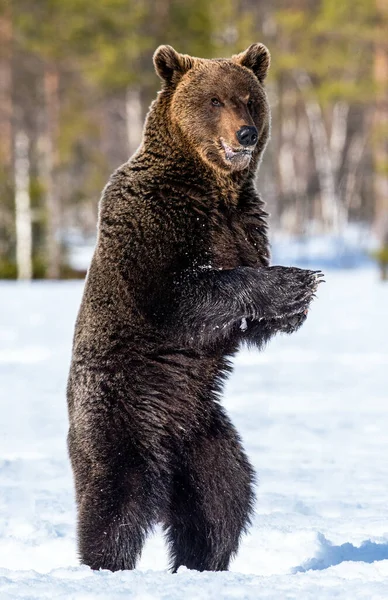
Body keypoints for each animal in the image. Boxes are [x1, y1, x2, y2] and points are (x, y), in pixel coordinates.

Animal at [67, 42, 324, 572]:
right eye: (214, 100)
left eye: (248, 98)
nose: (245, 133)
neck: (211, 187)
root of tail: (170, 443)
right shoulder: (153, 220)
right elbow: (177, 295)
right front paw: (293, 281)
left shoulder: (246, 222)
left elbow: (246, 324)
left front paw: (299, 299)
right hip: (122, 413)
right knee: (116, 499)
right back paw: (104, 564)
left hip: (205, 436)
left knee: (221, 500)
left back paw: (201, 563)